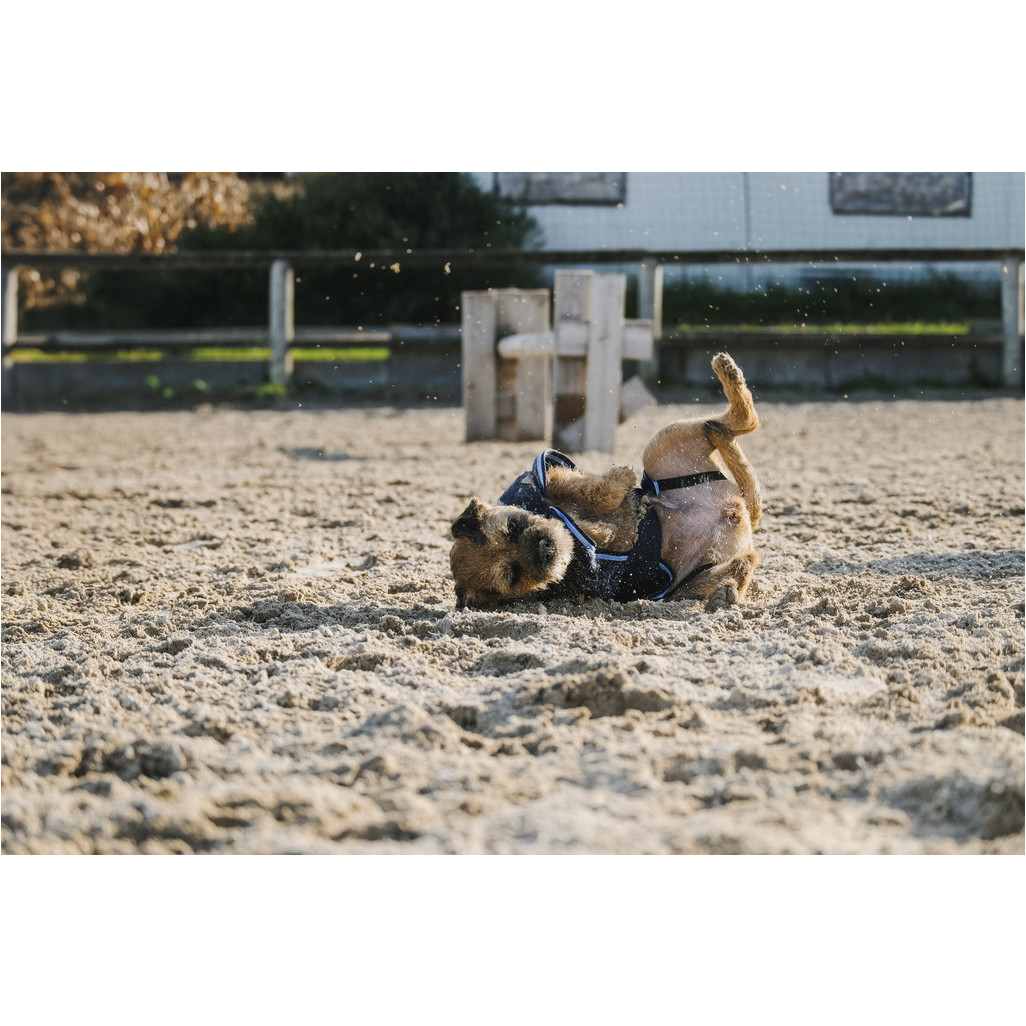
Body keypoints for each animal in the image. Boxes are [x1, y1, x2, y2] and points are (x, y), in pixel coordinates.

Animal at [451, 352, 763, 607]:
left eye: (512, 527)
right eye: (512, 574)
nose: (544, 545)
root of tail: (738, 509)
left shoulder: (547, 472)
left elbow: (588, 489)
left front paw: (619, 483)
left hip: (664, 442)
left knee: (740, 422)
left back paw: (727, 372)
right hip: (691, 580)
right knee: (744, 564)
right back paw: (728, 590)